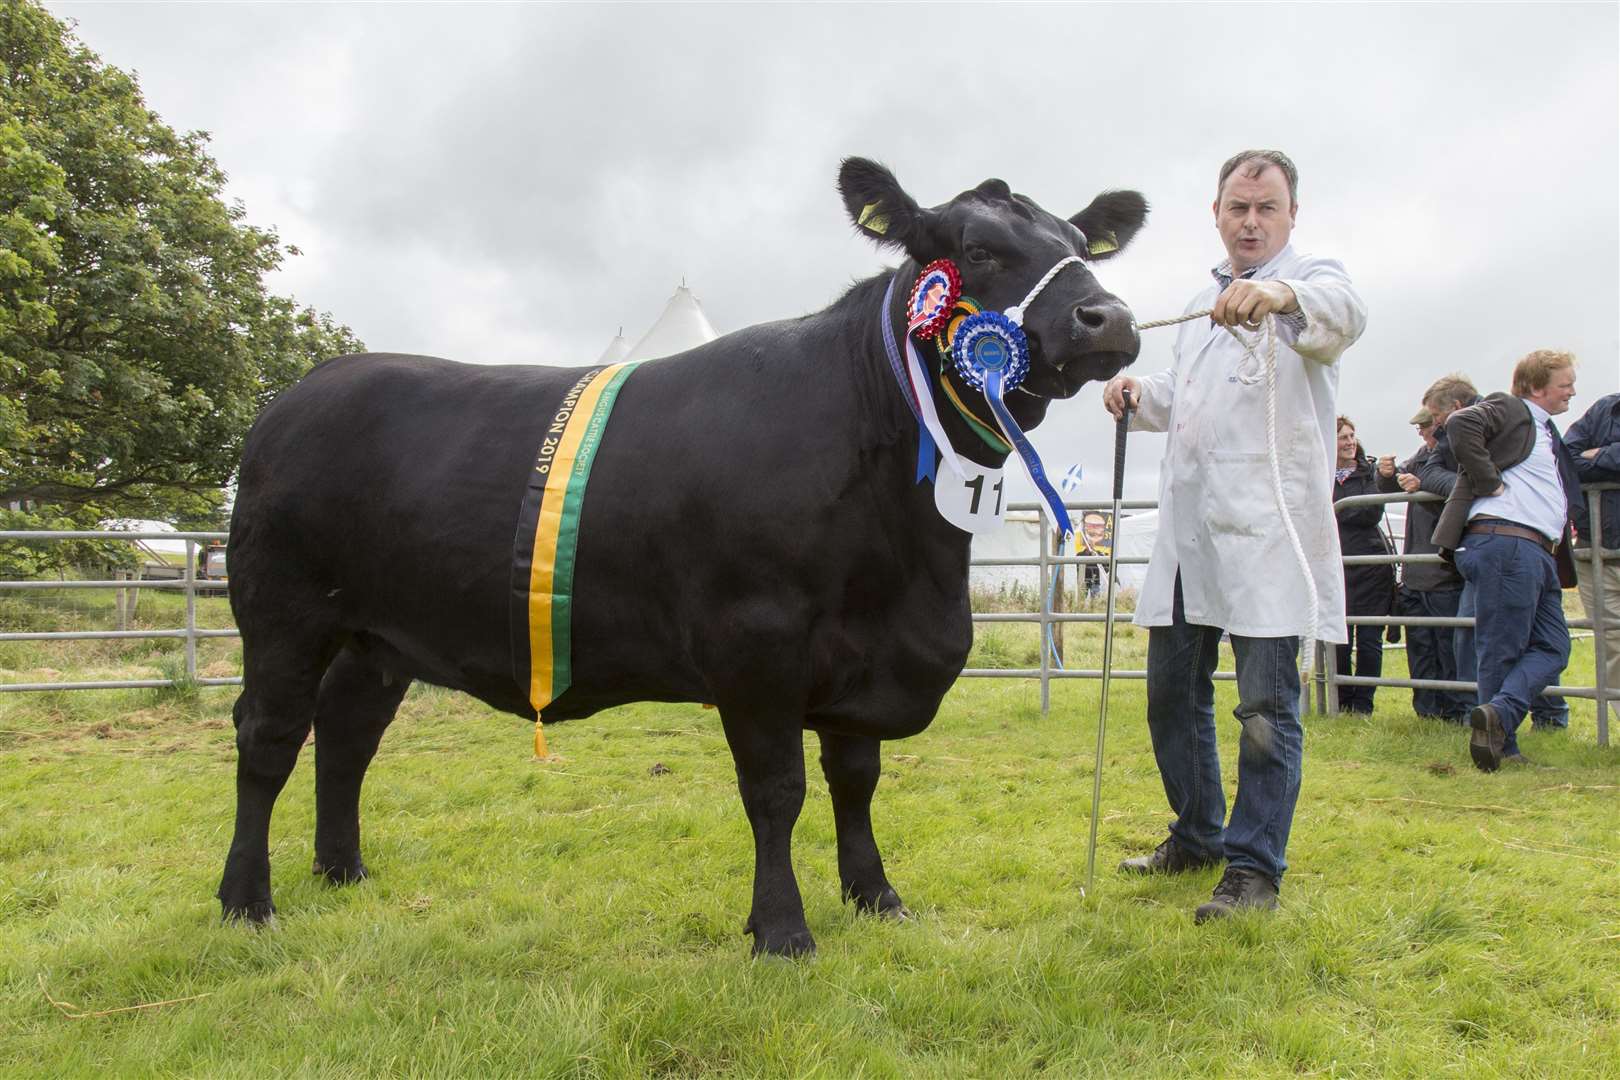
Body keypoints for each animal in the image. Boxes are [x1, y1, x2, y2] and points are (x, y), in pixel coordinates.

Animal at [218, 158, 1153, 952]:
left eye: (1078, 245)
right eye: (980, 248)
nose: (1109, 317)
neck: (912, 568)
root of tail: (299, 393)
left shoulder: (861, 655)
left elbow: (856, 778)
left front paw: (876, 897)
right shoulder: (756, 643)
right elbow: (777, 791)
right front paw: (782, 930)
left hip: (378, 636)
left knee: (347, 732)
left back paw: (342, 870)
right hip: (282, 613)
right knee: (268, 737)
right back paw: (247, 901)